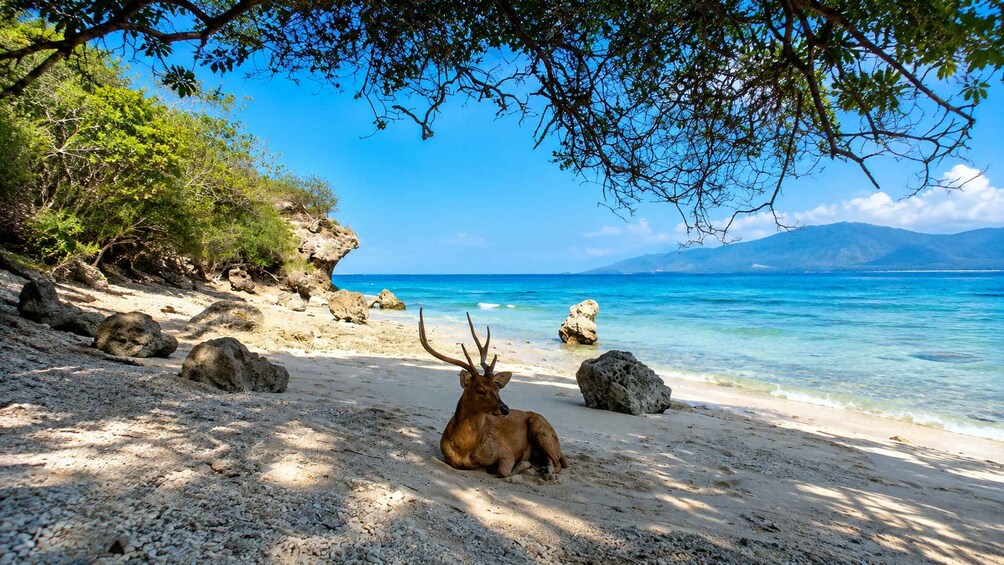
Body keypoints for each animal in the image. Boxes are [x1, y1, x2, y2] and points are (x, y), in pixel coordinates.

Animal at [419, 308, 569, 479]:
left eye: (497, 389)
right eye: (480, 390)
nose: (505, 409)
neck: (464, 451)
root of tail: (559, 447)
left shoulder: (506, 452)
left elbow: (503, 471)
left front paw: (525, 465)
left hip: (541, 429)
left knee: (557, 463)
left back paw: (545, 471)